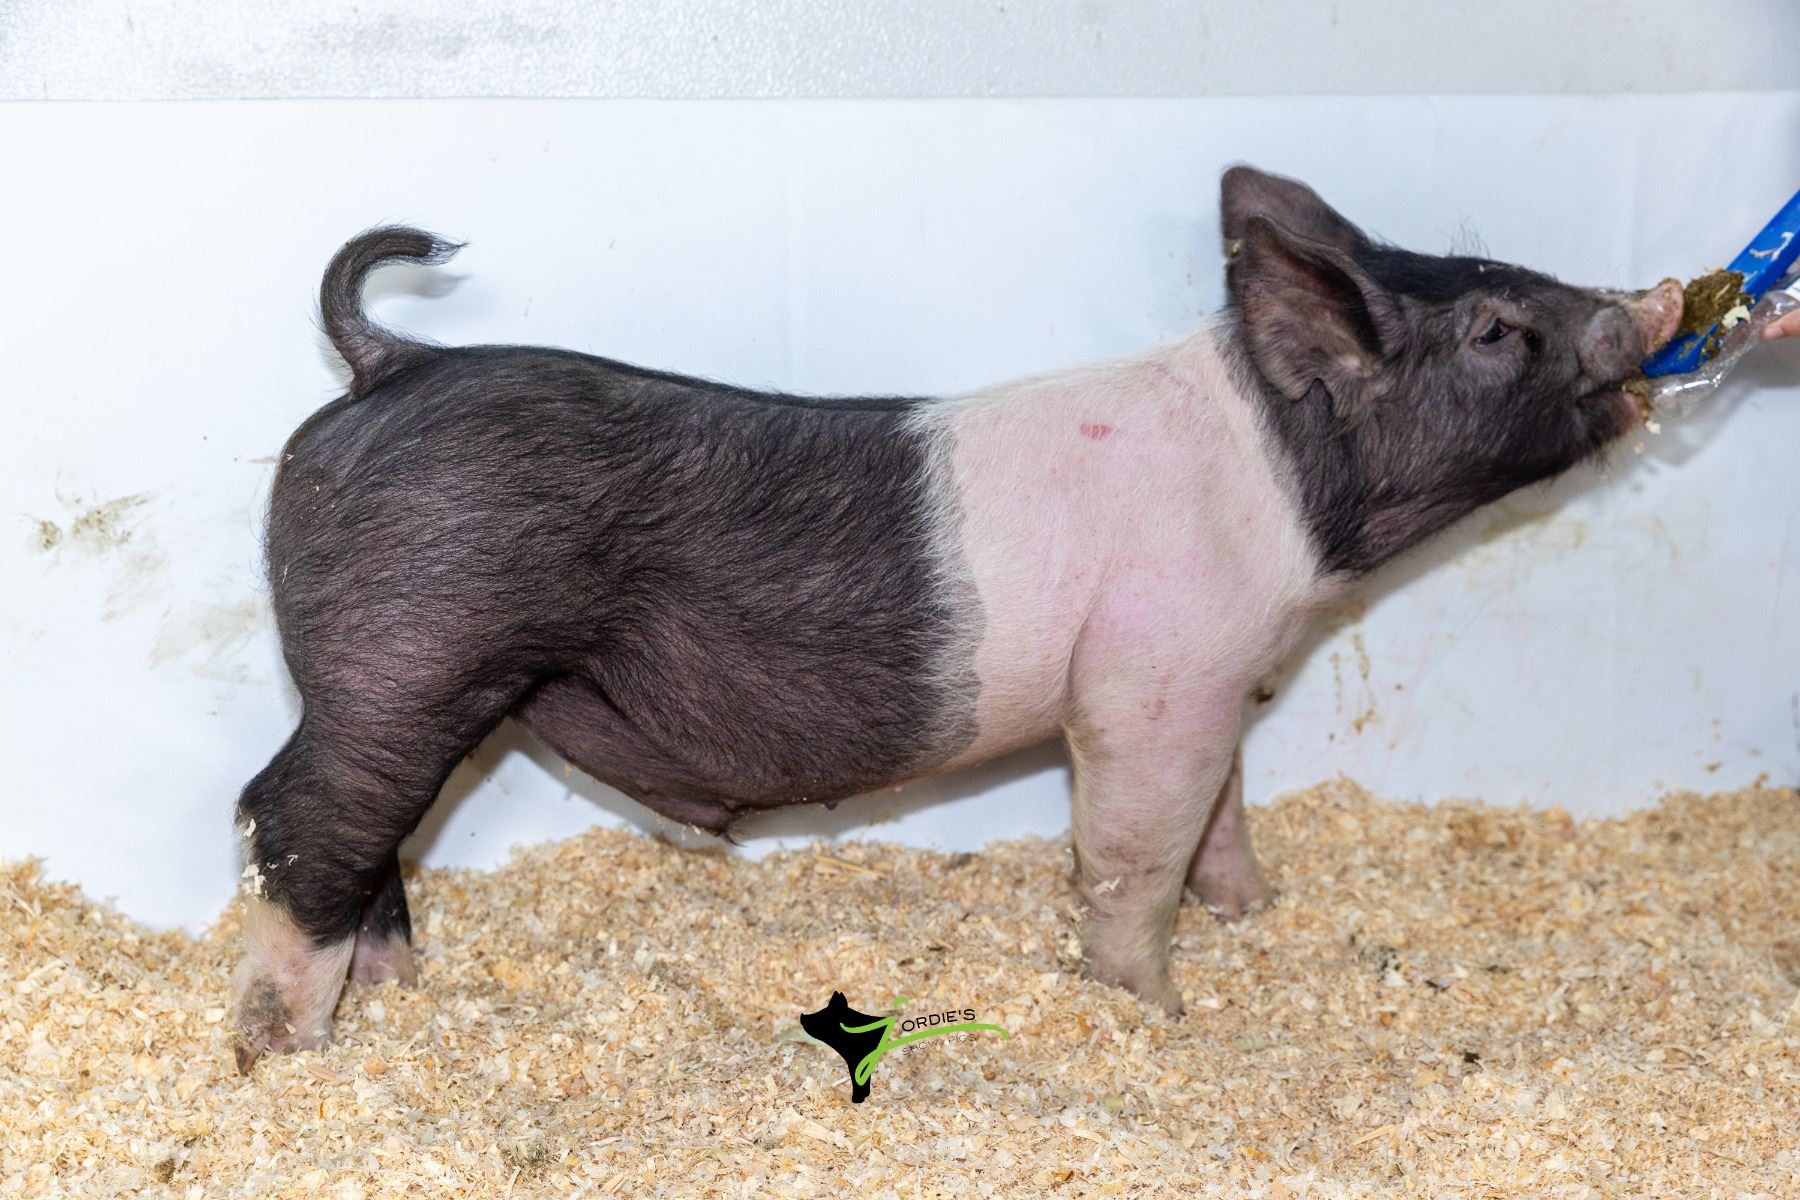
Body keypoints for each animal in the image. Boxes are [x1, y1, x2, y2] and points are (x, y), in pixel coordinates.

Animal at [230, 166, 1683, 1069]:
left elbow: (1223, 819)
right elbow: (1136, 852)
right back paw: (287, 1048)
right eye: (1495, 328)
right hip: (412, 653)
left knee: (361, 839)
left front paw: (1255, 915)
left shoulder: (1216, 687)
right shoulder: (1150, 686)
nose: (1651, 302)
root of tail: (388, 362)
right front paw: (1153, 1012)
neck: (1286, 492)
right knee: (297, 813)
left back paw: (399, 997)